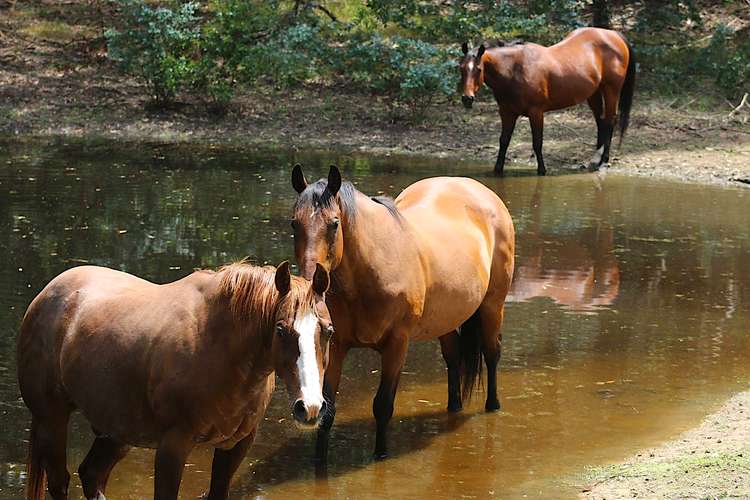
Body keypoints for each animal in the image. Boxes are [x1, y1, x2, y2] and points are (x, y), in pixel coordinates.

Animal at [16, 262, 334, 500]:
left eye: (328, 330)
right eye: (280, 330)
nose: (310, 407)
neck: (217, 344)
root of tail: (45, 296)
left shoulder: (236, 445)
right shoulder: (173, 446)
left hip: (116, 431)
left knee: (92, 474)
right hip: (52, 419)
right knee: (60, 482)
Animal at [290, 165, 516, 460]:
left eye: (334, 223)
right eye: (294, 224)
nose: (309, 282)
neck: (372, 268)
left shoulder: (397, 343)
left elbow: (383, 405)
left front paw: (381, 456)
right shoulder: (336, 345)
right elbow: (328, 410)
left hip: (492, 306)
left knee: (491, 353)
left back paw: (493, 405)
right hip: (444, 320)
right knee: (453, 357)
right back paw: (454, 407)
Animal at [462, 27, 636, 176]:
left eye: (478, 69)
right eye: (461, 68)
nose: (467, 99)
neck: (515, 70)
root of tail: (613, 34)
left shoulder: (536, 113)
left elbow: (537, 143)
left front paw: (542, 170)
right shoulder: (507, 112)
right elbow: (504, 141)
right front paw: (498, 170)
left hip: (611, 90)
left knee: (610, 121)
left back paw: (604, 161)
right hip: (594, 94)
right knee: (601, 122)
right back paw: (595, 160)